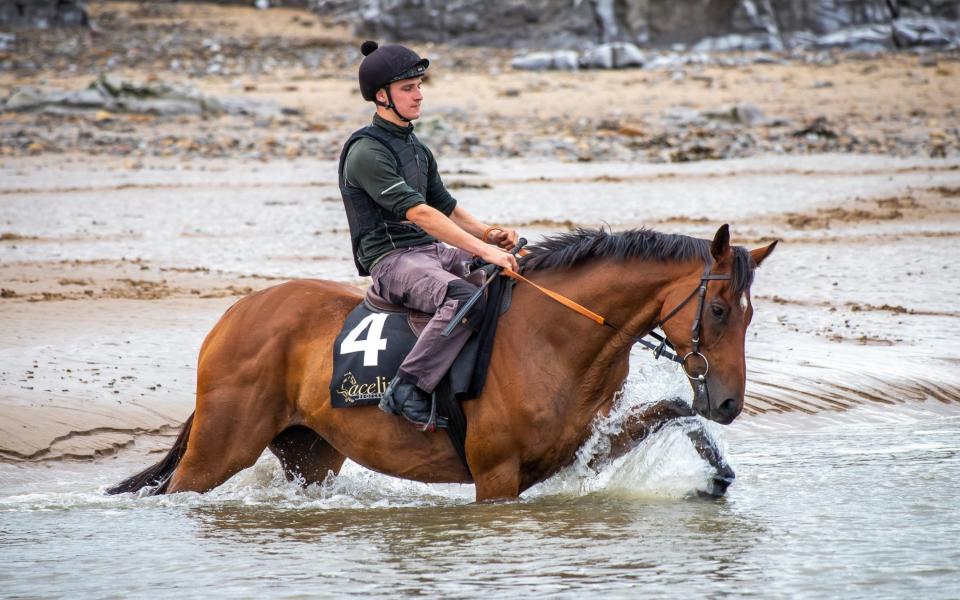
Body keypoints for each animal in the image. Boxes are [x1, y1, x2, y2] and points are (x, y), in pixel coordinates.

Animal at [109, 225, 776, 502]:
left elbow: (672, 410)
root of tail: (233, 317)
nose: (727, 403)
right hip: (220, 449)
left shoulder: (575, 451)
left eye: (747, 315)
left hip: (309, 453)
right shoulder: (496, 477)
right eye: (719, 309)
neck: (557, 338)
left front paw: (716, 478)